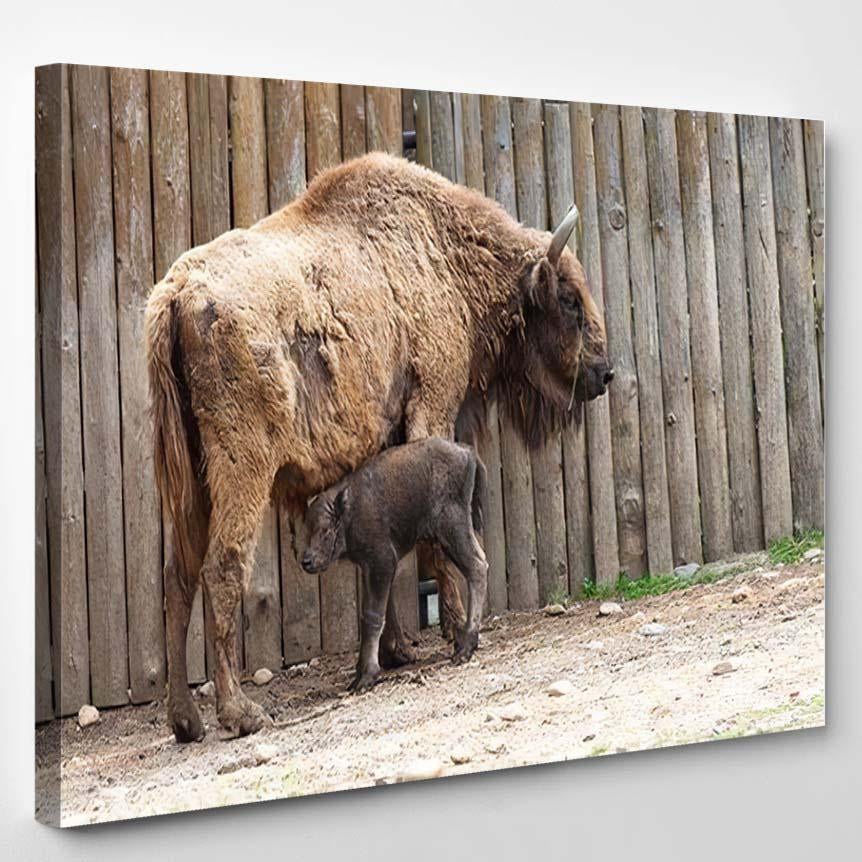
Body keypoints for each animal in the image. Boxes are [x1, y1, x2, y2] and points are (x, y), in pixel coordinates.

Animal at [300, 442, 490, 692]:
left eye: (325, 530)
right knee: (479, 562)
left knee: (476, 566)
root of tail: (467, 452)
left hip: (451, 528)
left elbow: (373, 615)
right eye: (307, 531)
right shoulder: (367, 568)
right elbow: (369, 614)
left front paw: (367, 676)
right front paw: (359, 674)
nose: (306, 560)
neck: (348, 511)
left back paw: (465, 648)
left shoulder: (382, 563)